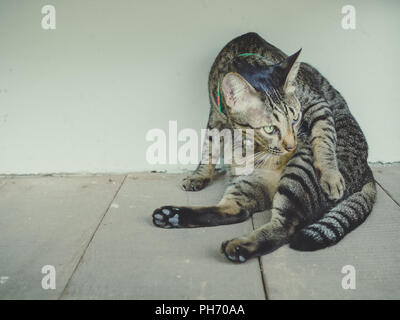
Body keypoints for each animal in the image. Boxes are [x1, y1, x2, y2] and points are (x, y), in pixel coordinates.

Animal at [152, 32, 376, 262]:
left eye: (296, 119)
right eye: (269, 128)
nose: (291, 146)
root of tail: (367, 172)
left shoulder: (317, 103)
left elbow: (324, 134)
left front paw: (330, 174)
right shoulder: (215, 115)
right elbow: (209, 148)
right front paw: (199, 175)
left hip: (299, 172)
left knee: (284, 227)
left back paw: (238, 246)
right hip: (249, 182)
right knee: (237, 210)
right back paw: (172, 216)